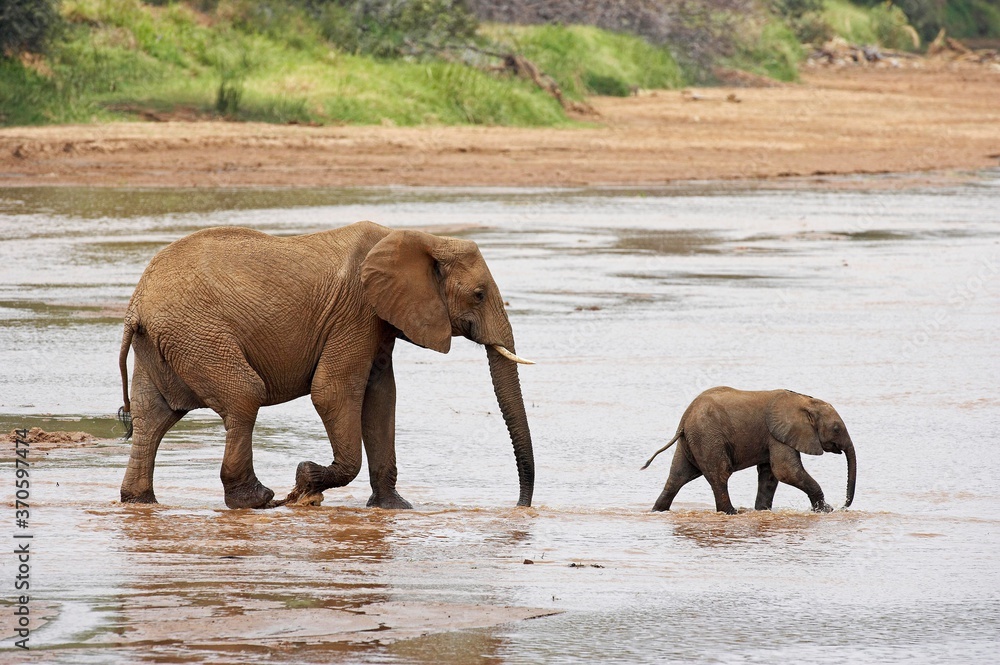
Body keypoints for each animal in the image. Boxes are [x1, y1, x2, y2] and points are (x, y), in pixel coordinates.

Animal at [116, 221, 535, 510]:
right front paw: (304, 486)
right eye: (478, 295)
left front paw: (394, 508)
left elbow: (381, 398)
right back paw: (258, 500)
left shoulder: (377, 320)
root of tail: (137, 304)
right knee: (244, 397)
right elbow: (333, 392)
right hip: (197, 333)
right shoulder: (356, 311)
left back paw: (139, 500)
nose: (520, 506)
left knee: (154, 415)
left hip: (164, 343)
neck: (418, 237)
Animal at [642, 387, 856, 514]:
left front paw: (762, 511)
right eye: (836, 429)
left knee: (677, 478)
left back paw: (658, 511)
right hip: (707, 437)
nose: (843, 506)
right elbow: (786, 471)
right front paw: (826, 510)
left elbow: (770, 474)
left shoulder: (773, 436)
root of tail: (685, 418)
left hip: (691, 441)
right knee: (720, 475)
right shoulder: (778, 434)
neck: (805, 401)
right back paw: (732, 512)